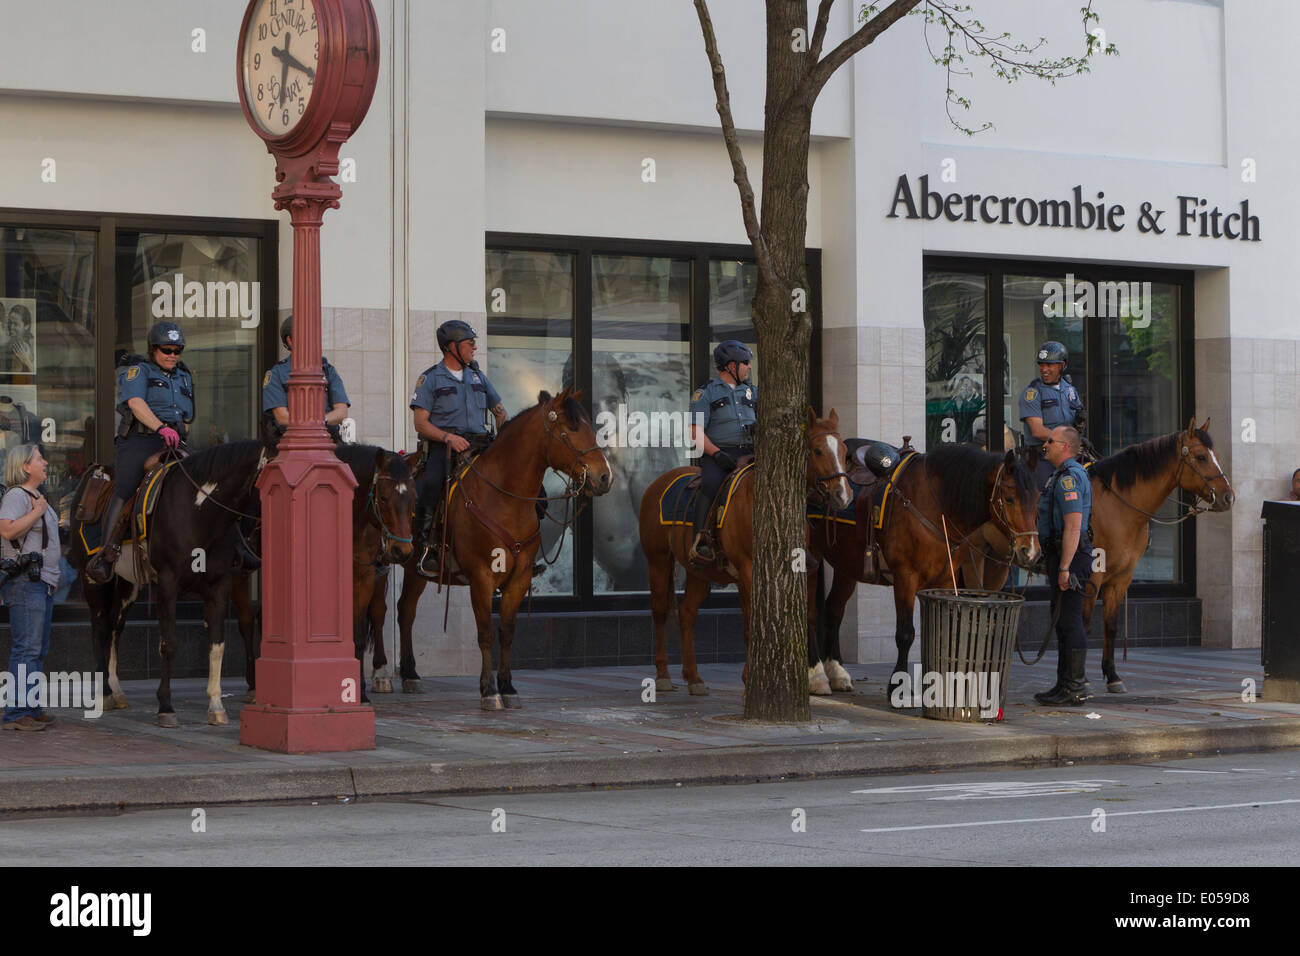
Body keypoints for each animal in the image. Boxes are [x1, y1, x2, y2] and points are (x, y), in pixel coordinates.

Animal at [69, 444, 267, 728]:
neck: (200, 513)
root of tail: (95, 470)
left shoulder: (219, 586)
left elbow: (217, 644)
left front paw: (216, 705)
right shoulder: (167, 584)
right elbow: (169, 644)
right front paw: (166, 706)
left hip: (129, 584)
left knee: (115, 627)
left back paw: (116, 690)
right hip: (93, 580)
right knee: (100, 627)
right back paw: (105, 693)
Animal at [390, 390, 613, 712]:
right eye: (571, 429)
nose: (605, 477)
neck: (505, 498)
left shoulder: (519, 578)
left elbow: (507, 632)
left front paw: (508, 687)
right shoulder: (481, 578)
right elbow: (485, 633)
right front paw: (489, 690)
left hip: (416, 572)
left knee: (406, 611)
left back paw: (409, 674)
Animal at [637, 403, 852, 697]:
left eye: (844, 450)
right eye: (818, 450)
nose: (843, 495)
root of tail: (658, 482)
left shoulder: (798, 569)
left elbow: (801, 615)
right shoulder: (748, 570)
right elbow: (752, 622)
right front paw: (751, 679)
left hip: (699, 572)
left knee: (687, 614)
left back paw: (694, 678)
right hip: (657, 561)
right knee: (659, 611)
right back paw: (662, 675)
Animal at [806, 444, 1040, 691]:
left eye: (1037, 497)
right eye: (1010, 498)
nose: (1031, 551)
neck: (936, 506)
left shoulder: (946, 581)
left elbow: (947, 632)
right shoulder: (905, 577)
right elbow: (905, 634)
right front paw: (897, 686)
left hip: (848, 564)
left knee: (834, 610)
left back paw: (837, 671)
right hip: (812, 558)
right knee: (812, 613)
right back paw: (816, 675)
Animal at [967, 418, 1227, 697]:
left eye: (1214, 454)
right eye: (1201, 457)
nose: (1228, 496)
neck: (1119, 506)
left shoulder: (1122, 577)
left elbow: (1110, 626)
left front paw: (1112, 675)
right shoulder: (1092, 576)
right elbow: (1082, 623)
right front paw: (1080, 679)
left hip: (995, 562)